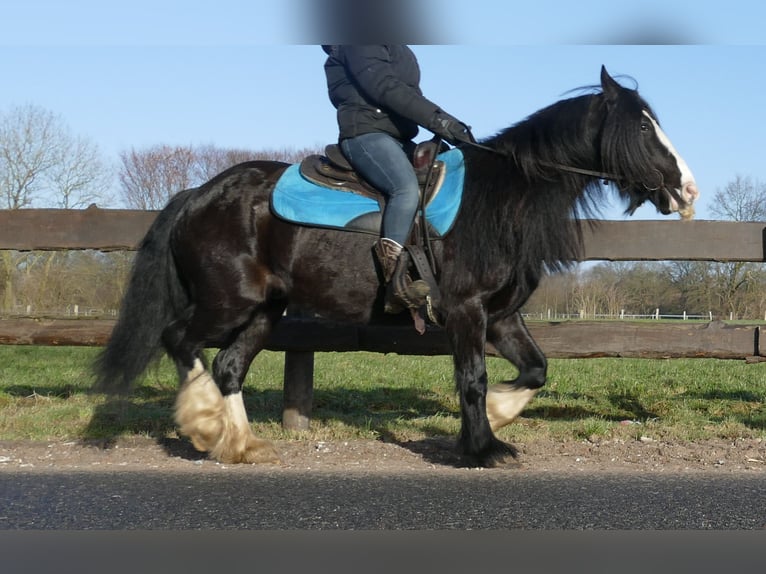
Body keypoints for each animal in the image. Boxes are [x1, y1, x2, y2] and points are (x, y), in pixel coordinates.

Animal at [93, 67, 700, 468]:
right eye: (643, 128)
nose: (687, 190)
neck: (502, 197)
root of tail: (197, 194)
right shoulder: (466, 310)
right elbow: (473, 377)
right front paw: (481, 447)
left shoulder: (503, 315)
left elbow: (536, 370)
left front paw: (499, 417)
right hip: (227, 300)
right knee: (180, 340)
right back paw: (202, 422)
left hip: (265, 309)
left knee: (228, 366)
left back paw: (237, 443)